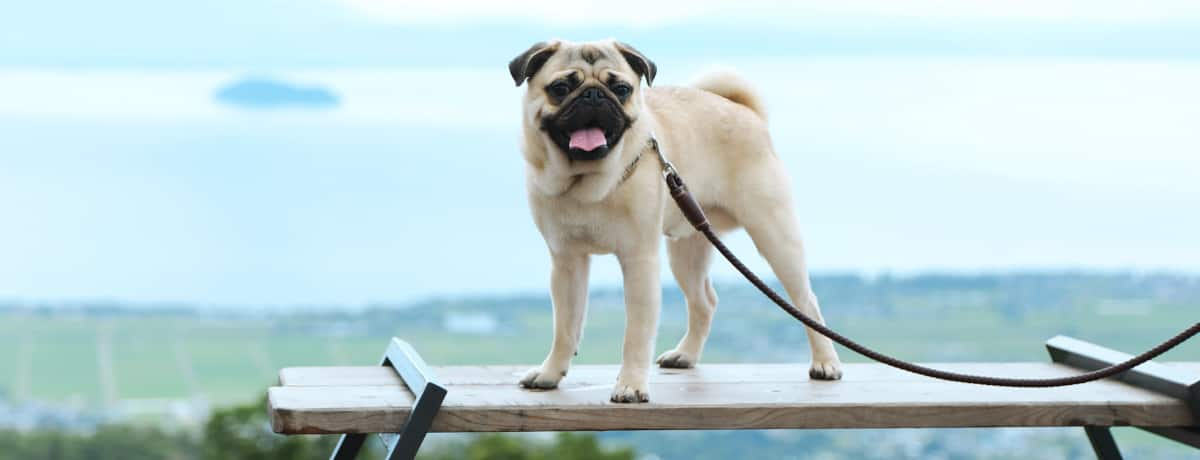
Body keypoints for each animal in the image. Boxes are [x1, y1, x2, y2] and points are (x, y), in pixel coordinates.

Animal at [511, 39, 840, 403]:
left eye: (621, 89)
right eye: (561, 88)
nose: (593, 95)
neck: (588, 183)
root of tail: (744, 111)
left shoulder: (639, 262)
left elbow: (636, 333)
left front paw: (631, 384)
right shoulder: (567, 263)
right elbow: (565, 328)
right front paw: (550, 373)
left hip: (774, 234)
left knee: (806, 302)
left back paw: (825, 362)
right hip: (688, 250)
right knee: (704, 302)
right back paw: (685, 355)